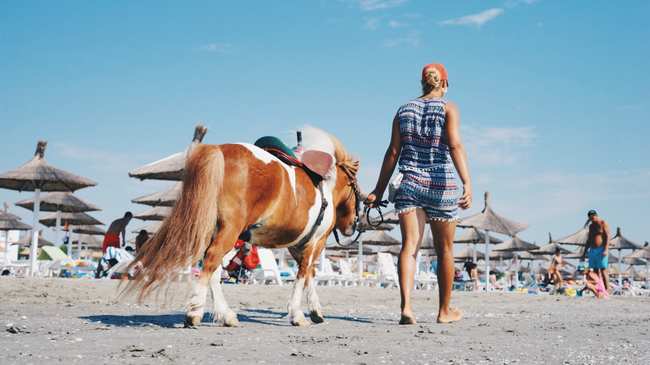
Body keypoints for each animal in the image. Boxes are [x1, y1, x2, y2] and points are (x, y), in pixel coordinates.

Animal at [125, 126, 360, 326]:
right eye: (355, 188)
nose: (353, 224)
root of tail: (219, 150)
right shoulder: (315, 242)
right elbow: (303, 275)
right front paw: (297, 314)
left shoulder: (298, 246)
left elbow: (308, 274)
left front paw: (315, 311)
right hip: (229, 231)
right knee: (211, 261)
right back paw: (195, 312)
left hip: (213, 231)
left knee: (212, 268)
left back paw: (225, 314)